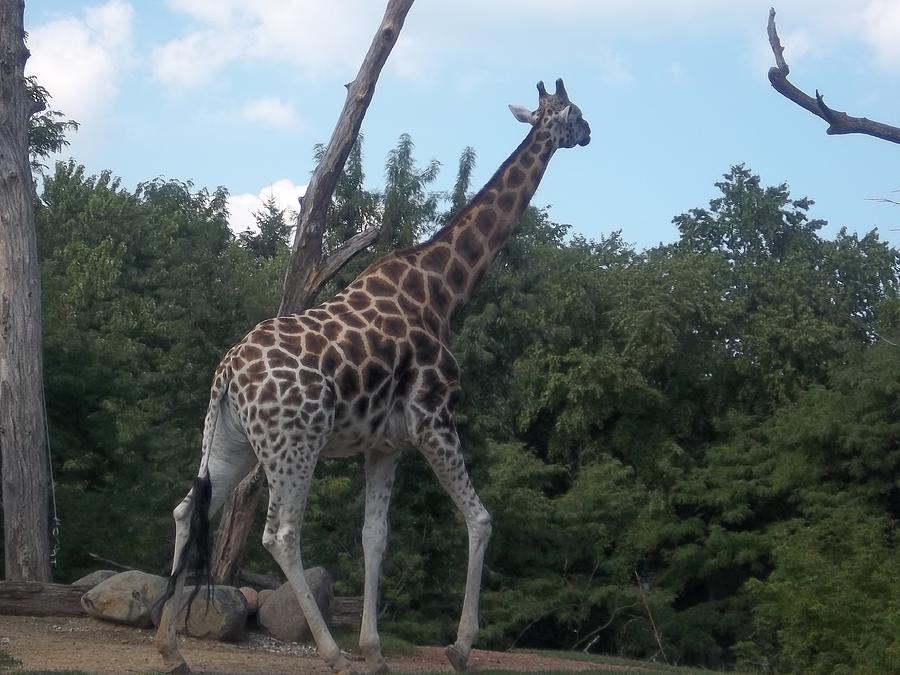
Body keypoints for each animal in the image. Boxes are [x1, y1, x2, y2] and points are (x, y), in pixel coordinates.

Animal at [155, 76, 592, 672]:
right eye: (573, 111)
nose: (590, 133)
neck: (443, 291)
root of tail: (227, 374)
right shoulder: (434, 420)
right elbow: (479, 519)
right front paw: (458, 647)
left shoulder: (385, 445)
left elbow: (374, 538)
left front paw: (375, 649)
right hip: (295, 444)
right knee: (280, 534)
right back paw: (331, 654)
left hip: (230, 444)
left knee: (187, 510)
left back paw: (170, 646)